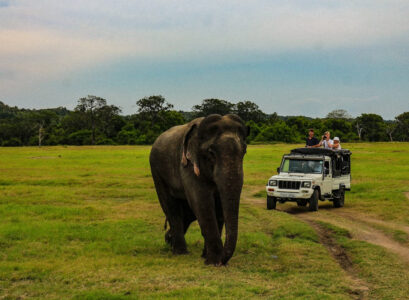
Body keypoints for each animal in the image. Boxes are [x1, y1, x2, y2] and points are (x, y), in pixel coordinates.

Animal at [148, 114, 247, 264]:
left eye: (244, 151)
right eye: (211, 152)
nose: (223, 259)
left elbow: (218, 206)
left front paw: (207, 257)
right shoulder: (188, 166)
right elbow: (201, 201)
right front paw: (213, 262)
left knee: (186, 214)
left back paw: (169, 240)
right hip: (157, 172)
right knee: (171, 208)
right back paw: (180, 252)